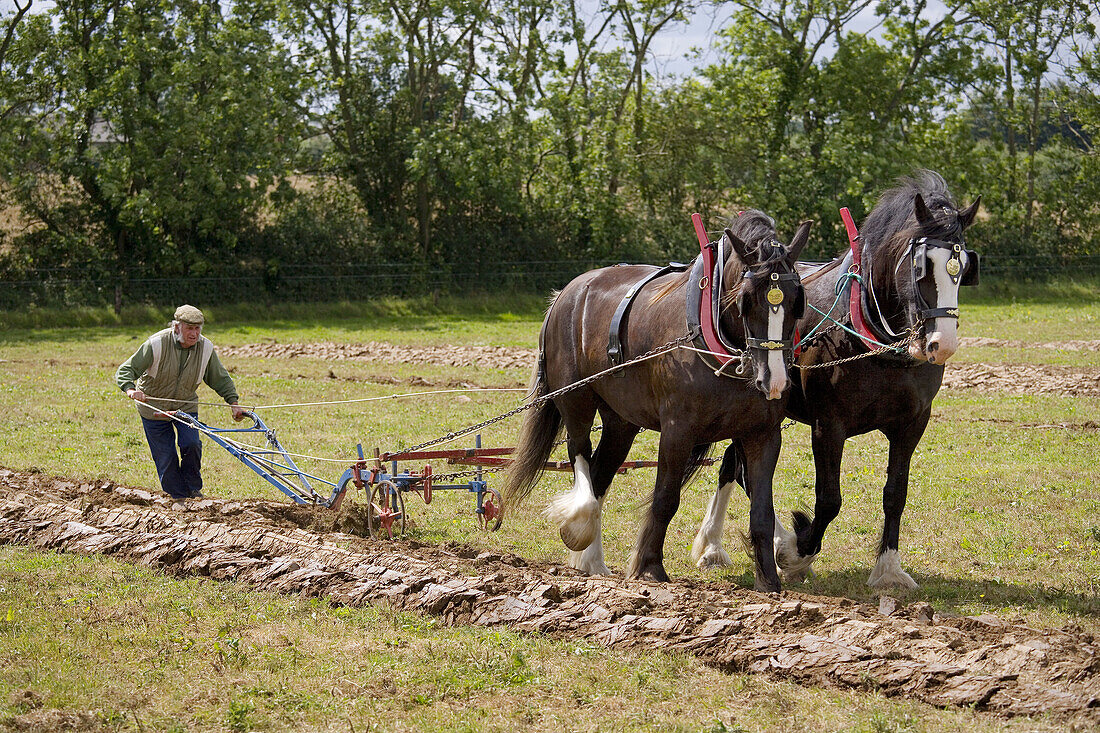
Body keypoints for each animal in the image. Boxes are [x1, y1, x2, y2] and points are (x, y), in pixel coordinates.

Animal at [503, 210, 809, 589]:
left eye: (797, 300)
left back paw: (592, 561)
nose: (775, 380)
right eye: (746, 299)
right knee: (580, 454)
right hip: (575, 399)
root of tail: (564, 294)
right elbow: (665, 498)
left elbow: (762, 509)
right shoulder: (678, 430)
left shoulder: (763, 434)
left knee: (601, 472)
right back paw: (579, 526)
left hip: (621, 421)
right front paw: (649, 566)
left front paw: (768, 579)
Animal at [690, 168, 985, 585]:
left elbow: (896, 493)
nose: (941, 343)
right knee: (742, 470)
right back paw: (740, 544)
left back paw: (725, 543)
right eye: (920, 265)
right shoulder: (828, 425)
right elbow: (829, 499)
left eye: (963, 268)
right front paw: (797, 552)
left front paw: (888, 568)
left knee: (734, 464)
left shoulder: (913, 423)